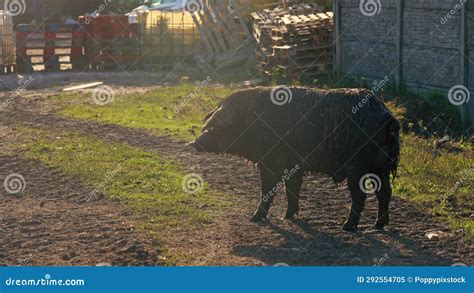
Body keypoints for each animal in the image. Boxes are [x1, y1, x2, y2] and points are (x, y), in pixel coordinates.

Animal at [189, 86, 400, 230]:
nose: (194, 142)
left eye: (217, 126)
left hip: (356, 167)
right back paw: (378, 225)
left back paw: (347, 226)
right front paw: (288, 217)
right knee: (385, 193)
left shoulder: (270, 161)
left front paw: (254, 218)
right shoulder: (293, 165)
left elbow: (269, 188)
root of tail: (389, 118)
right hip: (380, 169)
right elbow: (292, 188)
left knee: (360, 195)